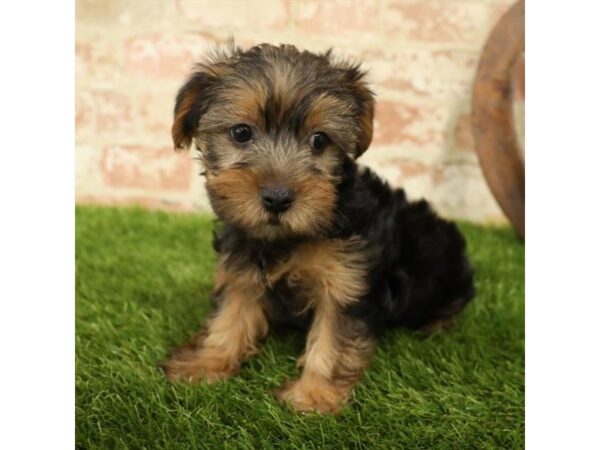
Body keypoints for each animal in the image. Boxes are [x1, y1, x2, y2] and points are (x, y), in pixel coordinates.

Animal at [162, 44, 476, 414]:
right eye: (241, 132)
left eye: (319, 139)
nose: (278, 198)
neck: (286, 239)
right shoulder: (242, 263)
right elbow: (230, 313)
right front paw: (206, 362)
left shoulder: (346, 279)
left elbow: (333, 339)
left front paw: (312, 396)